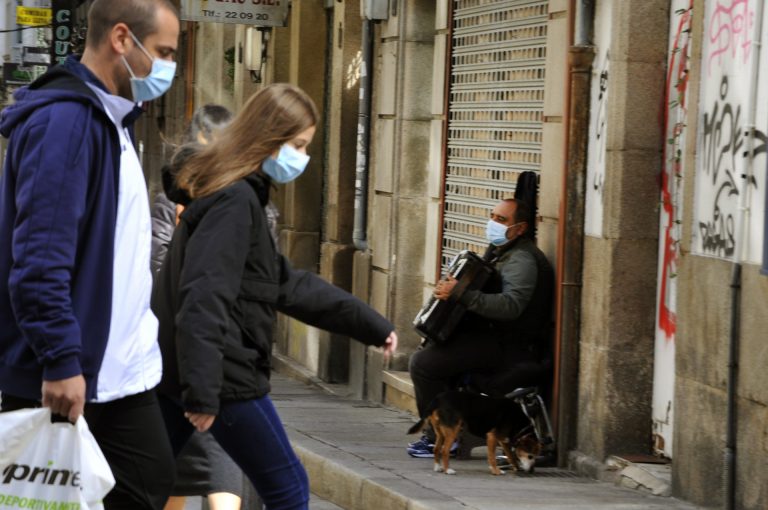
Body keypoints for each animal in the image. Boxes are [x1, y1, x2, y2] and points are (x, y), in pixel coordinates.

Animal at [408, 392, 540, 476]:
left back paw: (437, 467)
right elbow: (492, 457)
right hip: (453, 430)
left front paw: (516, 467)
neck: (521, 426)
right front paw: (496, 471)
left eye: (535, 456)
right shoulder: (492, 437)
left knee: (436, 449)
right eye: (530, 456)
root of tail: (437, 399)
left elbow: (511, 456)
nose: (532, 471)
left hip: (440, 432)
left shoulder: (503, 440)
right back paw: (448, 470)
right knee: (444, 450)